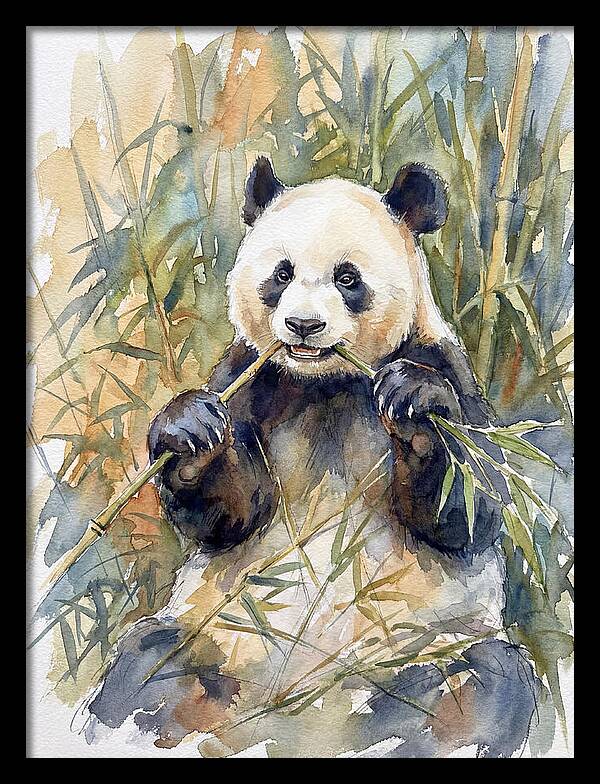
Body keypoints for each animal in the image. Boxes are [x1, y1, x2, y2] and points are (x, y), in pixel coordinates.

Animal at [85, 158, 542, 758]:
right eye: (281, 274)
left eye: (347, 279)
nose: (303, 326)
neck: (327, 383)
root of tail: (297, 714)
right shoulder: (251, 376)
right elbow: (234, 514)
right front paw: (189, 431)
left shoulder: (443, 363)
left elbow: (470, 507)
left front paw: (416, 406)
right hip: (215, 640)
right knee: (143, 670)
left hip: (422, 651)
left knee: (484, 685)